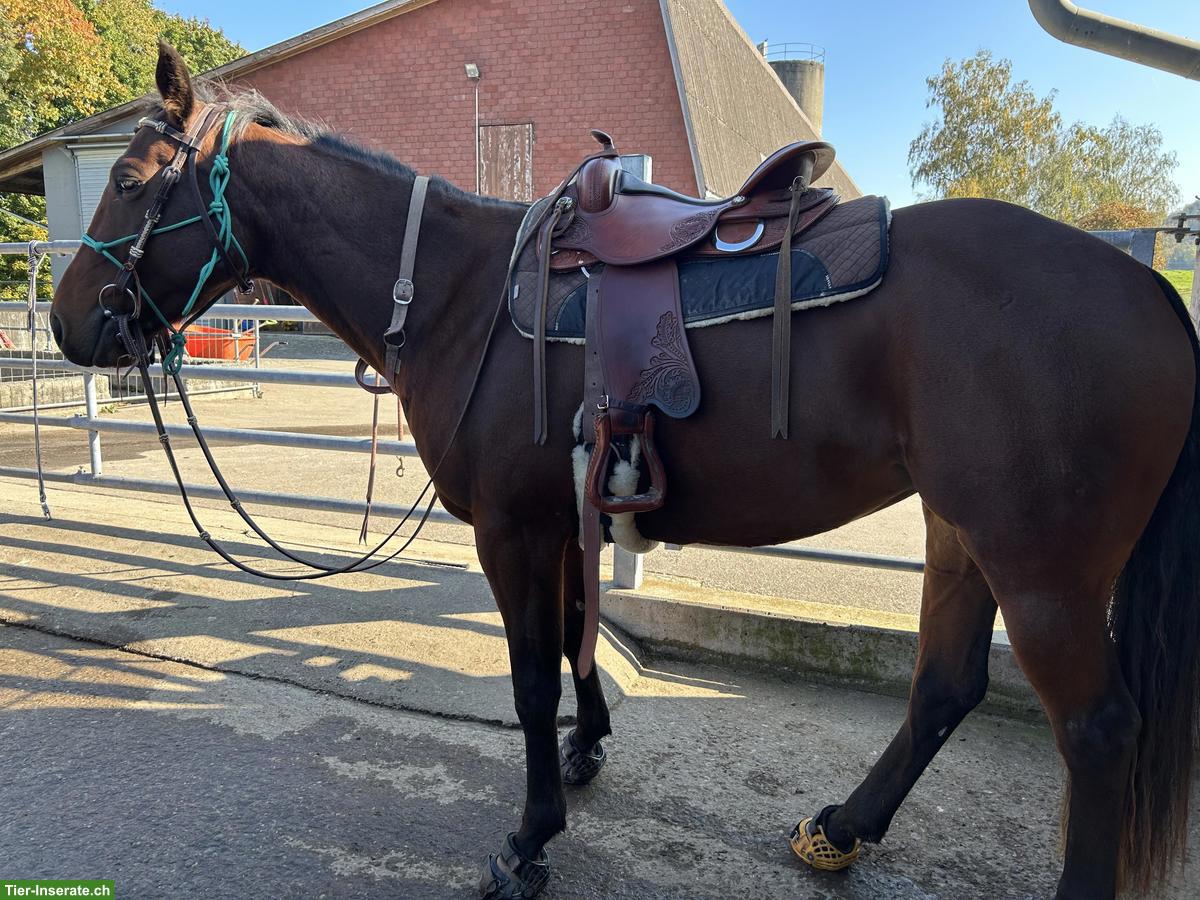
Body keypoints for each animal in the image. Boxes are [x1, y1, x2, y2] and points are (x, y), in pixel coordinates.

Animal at [49, 45, 1199, 899]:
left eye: (130, 181)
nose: (67, 326)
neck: (461, 290)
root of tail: (1149, 289)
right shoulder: (558, 517)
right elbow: (572, 640)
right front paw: (587, 751)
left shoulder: (510, 529)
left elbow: (527, 676)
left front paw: (529, 841)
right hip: (960, 533)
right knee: (945, 687)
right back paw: (839, 830)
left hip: (1041, 569)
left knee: (1098, 733)